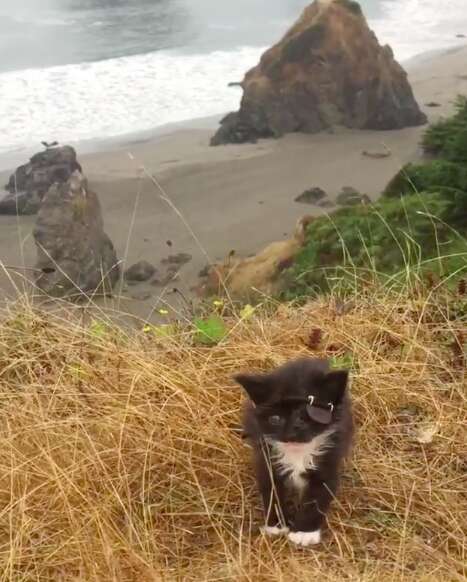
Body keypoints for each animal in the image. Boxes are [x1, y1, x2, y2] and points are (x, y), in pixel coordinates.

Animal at [236, 360, 352, 548]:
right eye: (275, 419)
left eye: (304, 418)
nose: (291, 433)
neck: (297, 452)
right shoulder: (267, 461)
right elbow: (272, 492)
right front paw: (276, 525)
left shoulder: (328, 462)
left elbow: (316, 498)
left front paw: (304, 533)